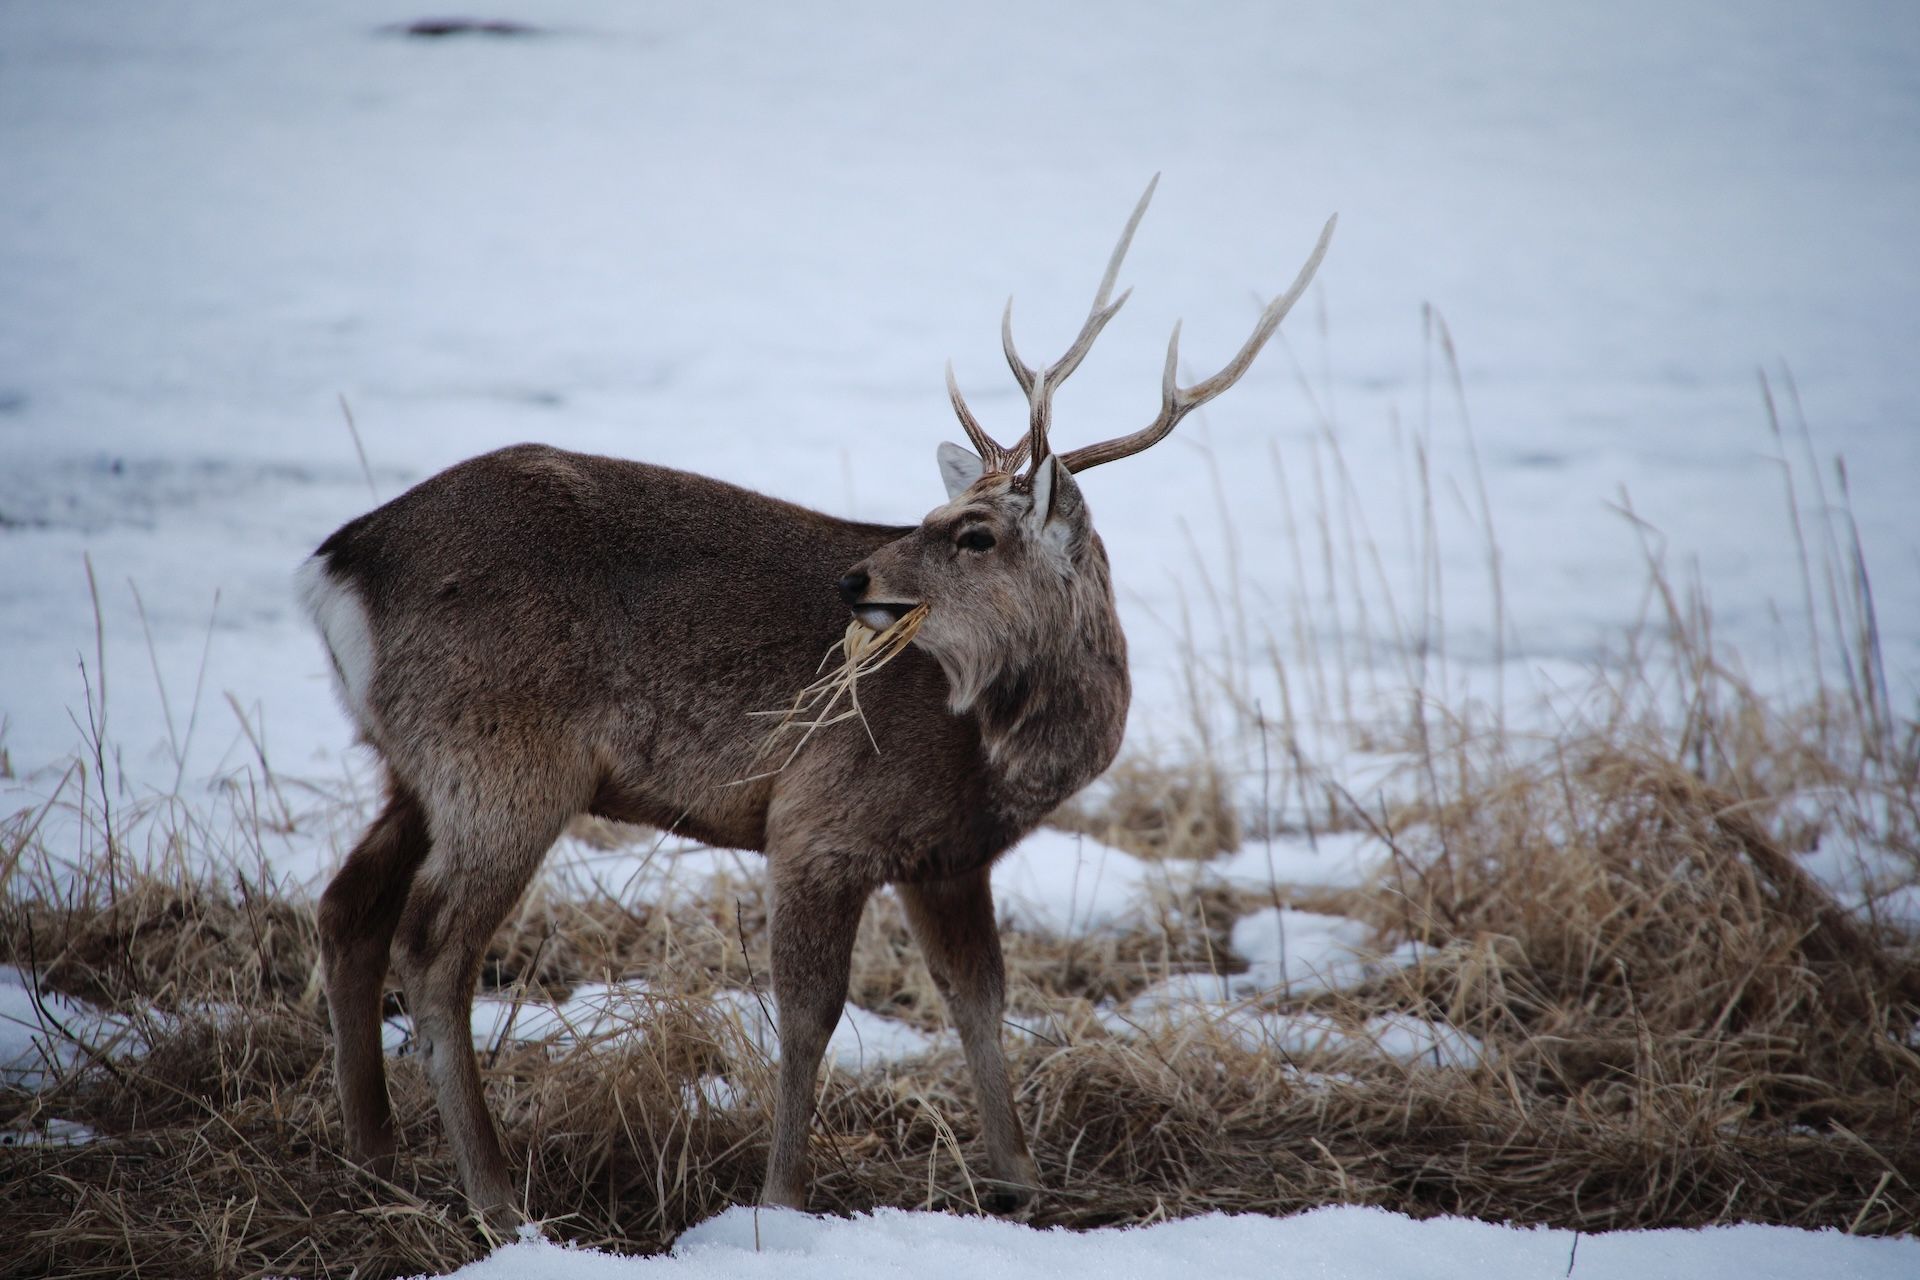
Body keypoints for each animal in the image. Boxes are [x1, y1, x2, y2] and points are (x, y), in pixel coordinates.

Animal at [296, 177, 1334, 1226]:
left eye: (972, 535)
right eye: (930, 515)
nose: (855, 579)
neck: (996, 751)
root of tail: (338, 564)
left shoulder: (945, 855)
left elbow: (980, 999)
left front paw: (1021, 1177)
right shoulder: (821, 821)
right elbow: (810, 1013)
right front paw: (784, 1197)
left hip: (418, 765)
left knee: (349, 910)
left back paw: (373, 1153)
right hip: (502, 759)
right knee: (433, 946)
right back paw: (496, 1194)